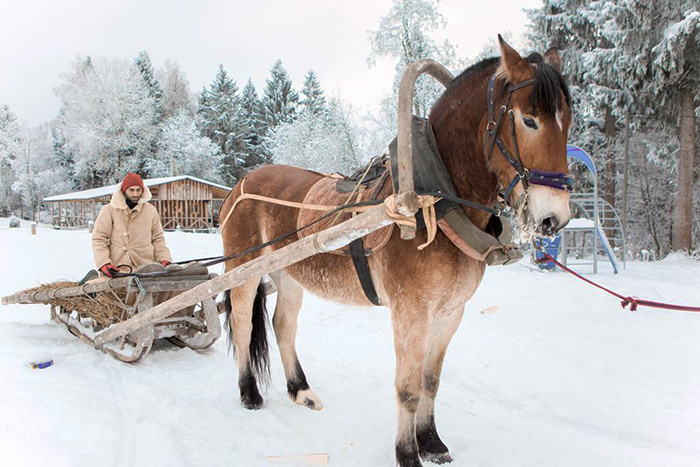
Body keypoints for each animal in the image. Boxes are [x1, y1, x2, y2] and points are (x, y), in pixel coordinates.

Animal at [220, 37, 576, 467]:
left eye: (568, 121)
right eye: (529, 120)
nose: (554, 217)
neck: (436, 203)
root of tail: (240, 183)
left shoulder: (450, 312)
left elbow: (431, 381)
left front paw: (431, 441)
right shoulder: (411, 312)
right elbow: (407, 387)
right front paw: (407, 453)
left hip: (289, 276)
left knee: (283, 325)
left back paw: (300, 390)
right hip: (244, 269)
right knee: (242, 324)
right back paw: (249, 392)